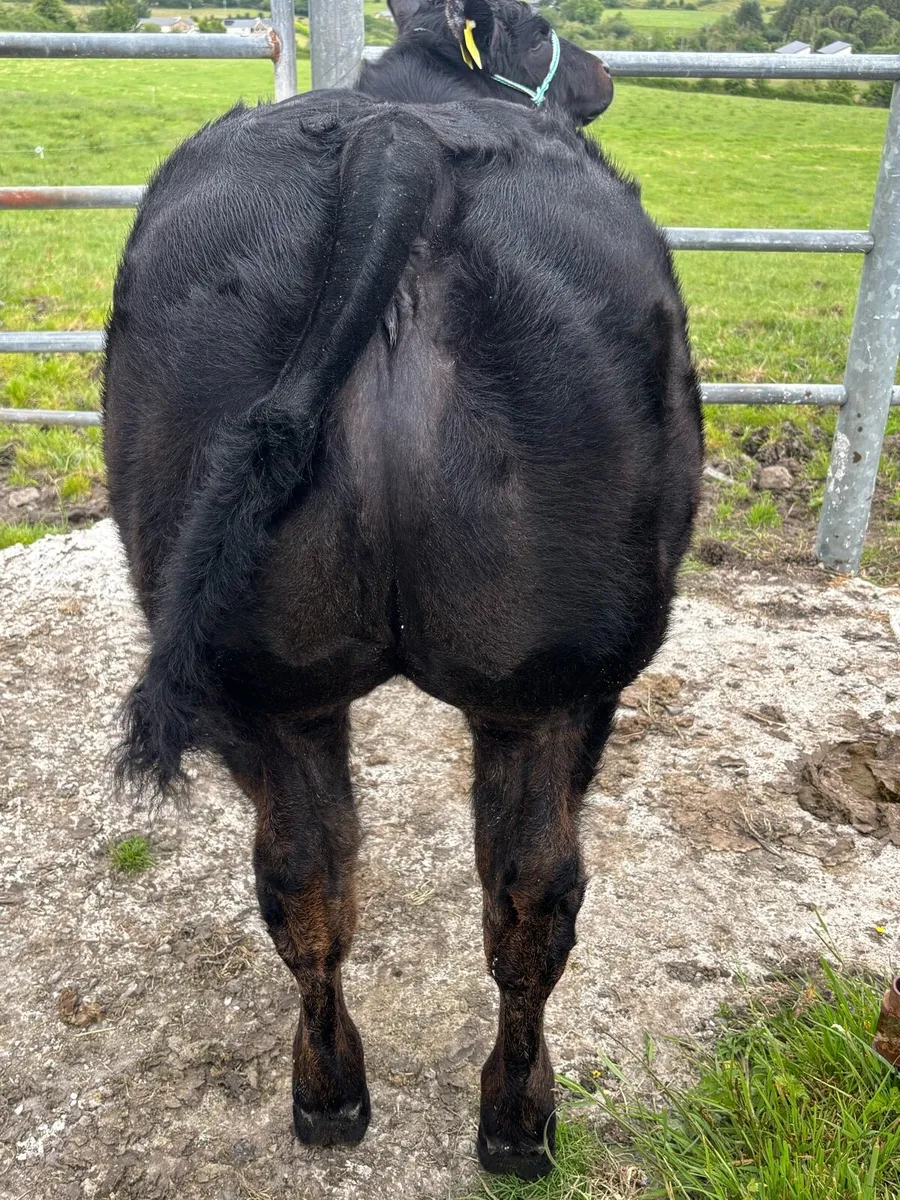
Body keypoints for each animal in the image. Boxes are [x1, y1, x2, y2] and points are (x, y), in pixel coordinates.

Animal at [103, 0, 703, 1180]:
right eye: (536, 26)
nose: (604, 72)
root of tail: (398, 143)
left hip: (270, 680)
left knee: (313, 881)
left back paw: (334, 1097)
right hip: (562, 686)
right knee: (534, 897)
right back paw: (518, 1119)